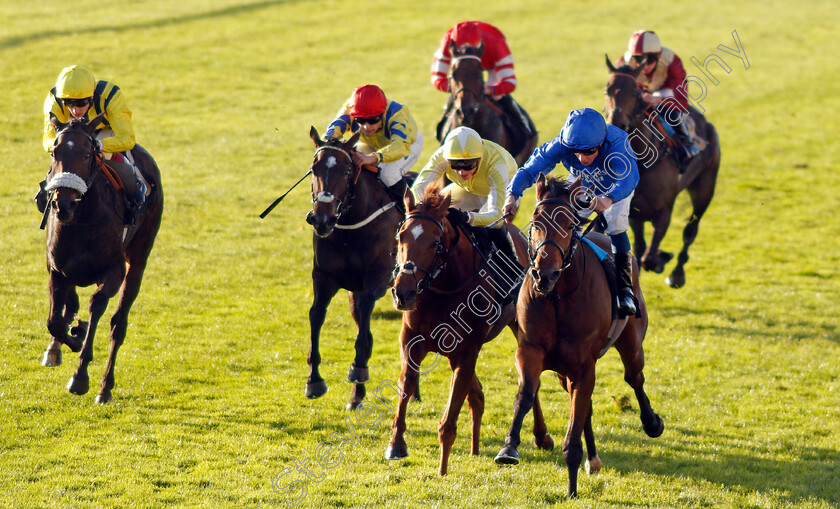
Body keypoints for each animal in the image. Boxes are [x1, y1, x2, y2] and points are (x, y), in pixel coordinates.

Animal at [40, 113, 162, 402]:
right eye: (54, 152)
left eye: (86, 155)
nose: (63, 204)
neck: (82, 220)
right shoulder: (57, 269)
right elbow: (55, 322)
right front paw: (71, 337)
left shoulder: (114, 272)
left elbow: (96, 306)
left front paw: (80, 377)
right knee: (69, 306)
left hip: (138, 259)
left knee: (118, 324)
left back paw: (105, 387)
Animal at [304, 126, 408, 408]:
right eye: (314, 168)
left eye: (346, 171)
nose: (322, 219)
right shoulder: (324, 278)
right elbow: (317, 314)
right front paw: (314, 380)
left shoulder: (378, 278)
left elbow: (364, 323)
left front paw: (358, 368)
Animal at [384, 184, 556, 476]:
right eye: (401, 236)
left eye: (434, 243)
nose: (402, 293)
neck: (445, 288)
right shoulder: (411, 341)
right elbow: (407, 385)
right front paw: (396, 444)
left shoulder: (466, 350)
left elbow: (452, 409)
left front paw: (442, 469)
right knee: (479, 394)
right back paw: (476, 447)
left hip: (520, 327)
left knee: (530, 382)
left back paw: (541, 436)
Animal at [492, 175, 664, 496]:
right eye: (536, 220)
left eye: (570, 224)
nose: (544, 274)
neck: (559, 295)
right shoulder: (531, 351)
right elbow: (526, 394)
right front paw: (509, 448)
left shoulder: (585, 365)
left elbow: (574, 425)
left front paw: (571, 486)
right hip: (564, 370)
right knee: (583, 402)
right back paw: (592, 458)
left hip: (632, 343)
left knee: (634, 378)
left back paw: (651, 423)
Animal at [604, 57, 720, 288]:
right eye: (607, 90)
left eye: (635, 93)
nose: (616, 124)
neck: (642, 162)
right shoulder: (634, 213)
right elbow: (639, 250)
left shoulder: (664, 212)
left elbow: (649, 257)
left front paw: (660, 260)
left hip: (705, 188)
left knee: (690, 230)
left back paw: (677, 274)